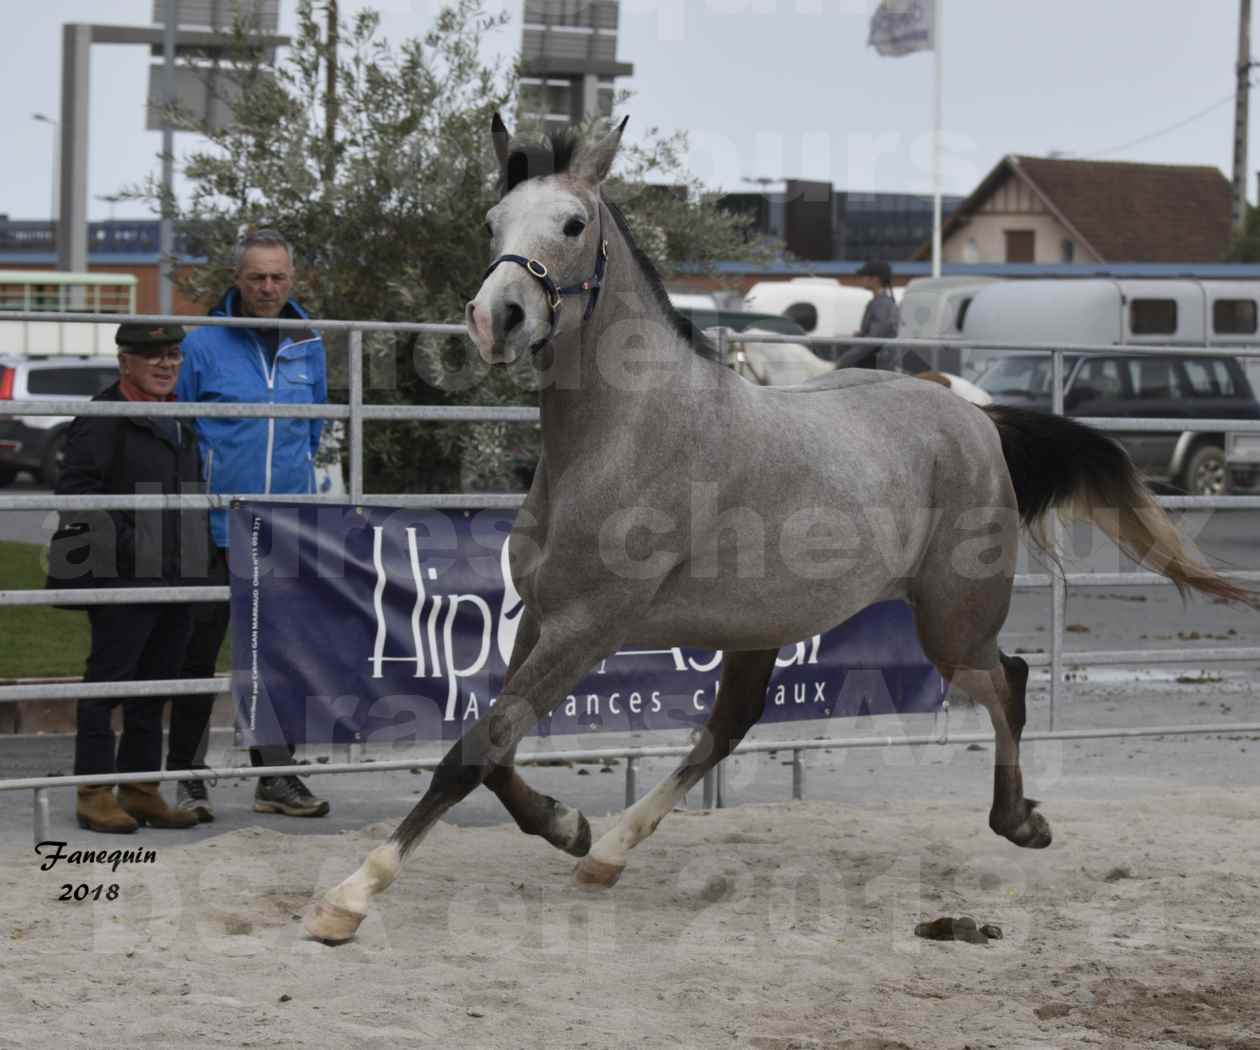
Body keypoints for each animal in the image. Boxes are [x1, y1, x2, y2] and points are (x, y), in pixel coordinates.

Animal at [302, 118, 1249, 947]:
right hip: (765, 625)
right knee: (732, 724)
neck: (623, 434)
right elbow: (494, 746)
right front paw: (568, 826)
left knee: (1008, 680)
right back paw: (607, 854)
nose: (494, 318)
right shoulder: (541, 617)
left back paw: (1021, 823)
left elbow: (474, 748)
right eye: (492, 222)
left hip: (950, 619)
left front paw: (348, 898)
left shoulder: (588, 626)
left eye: (571, 223)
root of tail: (976, 417)